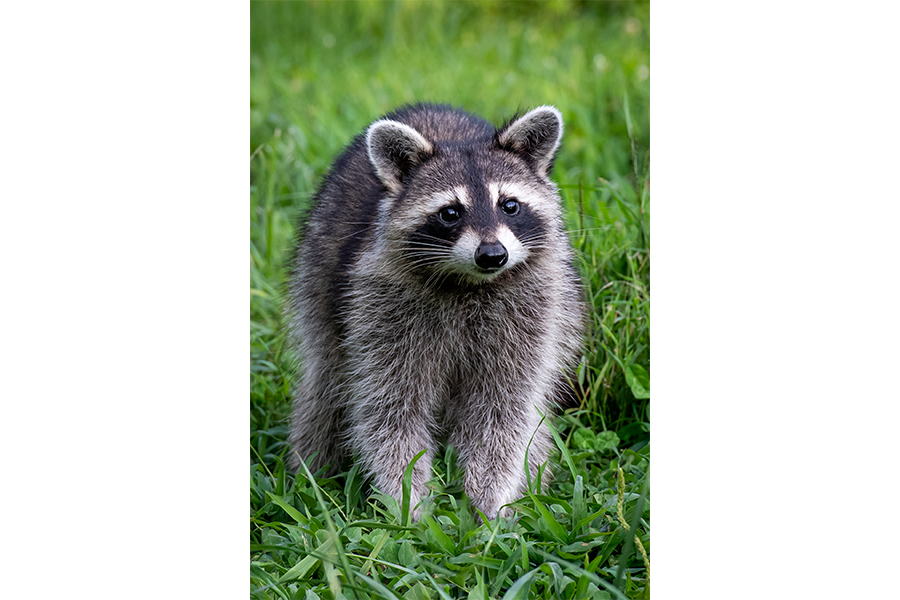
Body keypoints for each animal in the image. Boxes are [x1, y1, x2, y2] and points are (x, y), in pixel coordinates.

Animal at [284, 103, 588, 520]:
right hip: (317, 277)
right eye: (450, 213)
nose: (492, 255)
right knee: (325, 387)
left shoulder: (532, 311)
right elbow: (391, 411)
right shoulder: (379, 309)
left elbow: (505, 411)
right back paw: (312, 471)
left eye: (509, 205)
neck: (468, 282)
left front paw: (490, 502)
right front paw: (410, 504)